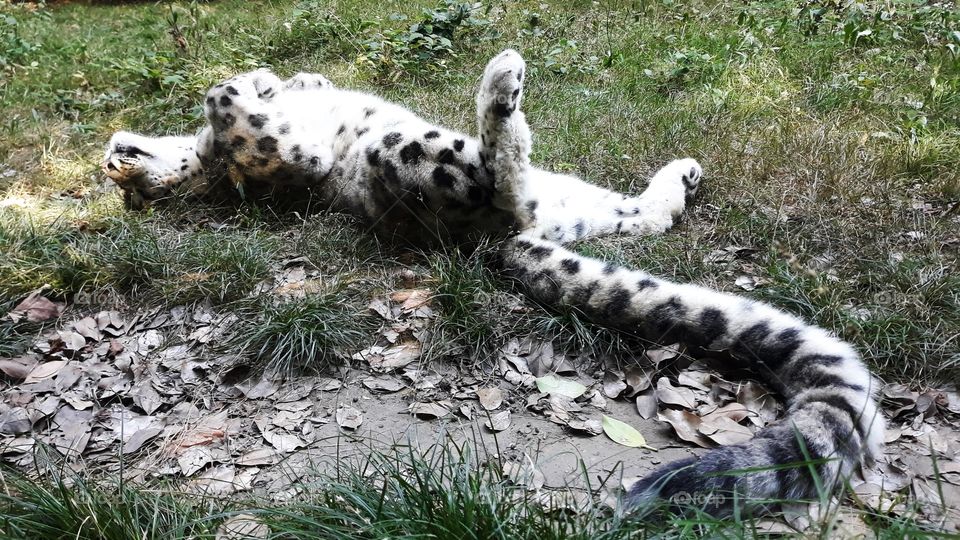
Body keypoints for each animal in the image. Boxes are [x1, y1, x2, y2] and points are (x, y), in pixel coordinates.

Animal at [103, 49, 884, 515]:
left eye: (122, 170)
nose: (113, 154)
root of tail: (495, 244)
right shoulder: (283, 156)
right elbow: (233, 113)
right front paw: (242, 87)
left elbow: (266, 96)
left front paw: (281, 79)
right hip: (419, 160)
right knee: (499, 179)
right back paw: (501, 90)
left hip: (579, 201)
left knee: (629, 214)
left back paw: (675, 172)